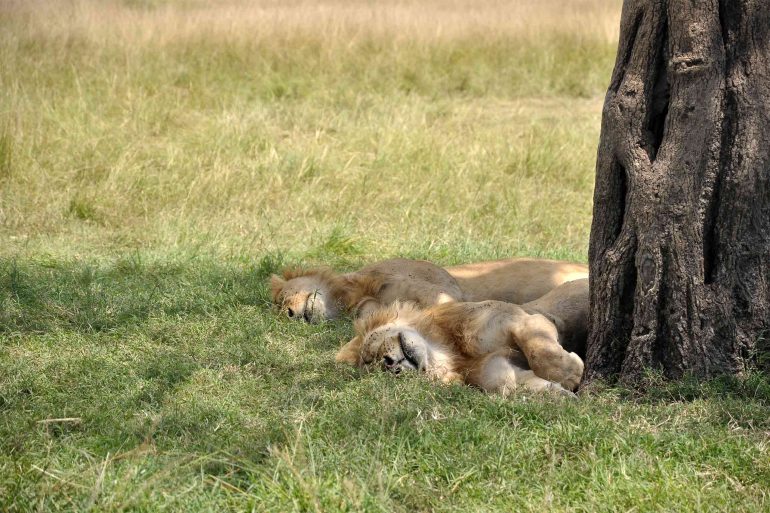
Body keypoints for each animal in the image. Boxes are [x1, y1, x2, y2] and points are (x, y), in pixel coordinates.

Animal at [335, 278, 589, 397]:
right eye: (377, 368)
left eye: (372, 355)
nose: (390, 366)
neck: (451, 352)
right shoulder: (497, 373)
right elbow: (518, 385)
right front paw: (561, 396)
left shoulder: (523, 320)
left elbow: (540, 353)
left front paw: (572, 373)